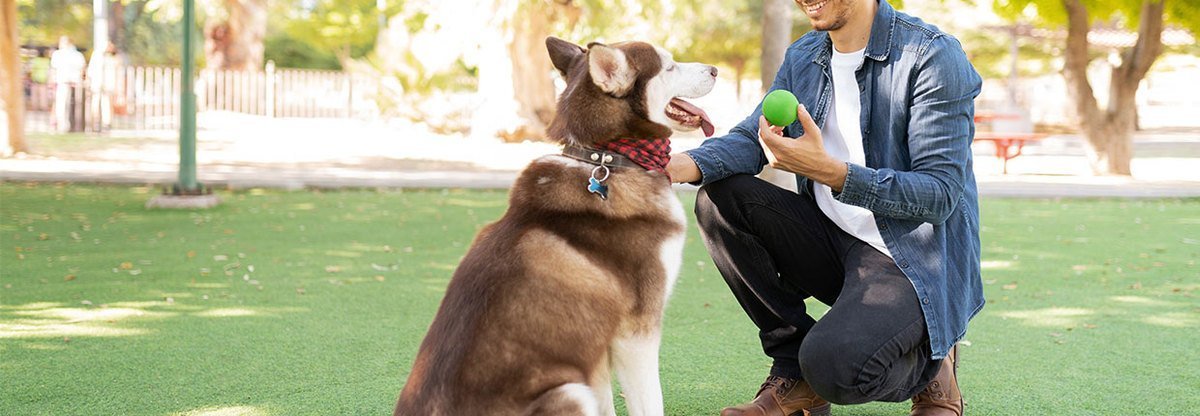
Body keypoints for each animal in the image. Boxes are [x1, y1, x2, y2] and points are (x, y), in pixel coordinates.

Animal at [393, 36, 710, 416]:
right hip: (569, 391)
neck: (607, 159)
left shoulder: (596, 349)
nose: (714, 69)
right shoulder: (635, 332)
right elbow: (650, 404)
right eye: (670, 66)